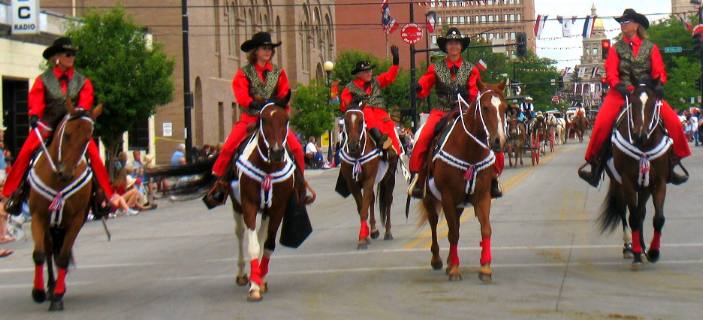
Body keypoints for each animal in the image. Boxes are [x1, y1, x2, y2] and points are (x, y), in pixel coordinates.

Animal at [27, 99, 103, 312]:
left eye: (87, 139)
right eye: (67, 134)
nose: (66, 173)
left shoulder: (76, 220)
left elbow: (63, 257)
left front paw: (59, 297)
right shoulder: (38, 217)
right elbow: (39, 254)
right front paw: (38, 293)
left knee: (59, 253)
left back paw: (56, 290)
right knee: (48, 250)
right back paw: (50, 288)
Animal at [340, 105, 398, 250]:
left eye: (361, 121)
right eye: (346, 121)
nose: (353, 145)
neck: (357, 156)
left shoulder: (368, 180)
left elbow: (364, 209)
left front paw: (362, 240)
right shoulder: (353, 184)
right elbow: (362, 207)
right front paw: (365, 235)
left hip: (389, 176)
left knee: (388, 200)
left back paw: (388, 232)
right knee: (371, 199)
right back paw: (373, 230)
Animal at [418, 80, 506, 282]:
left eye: (504, 108)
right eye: (485, 107)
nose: (498, 141)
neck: (469, 151)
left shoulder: (483, 196)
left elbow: (485, 229)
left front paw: (485, 268)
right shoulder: (448, 196)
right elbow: (453, 233)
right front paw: (455, 270)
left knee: (454, 222)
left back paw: (450, 261)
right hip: (430, 198)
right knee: (434, 222)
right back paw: (438, 260)